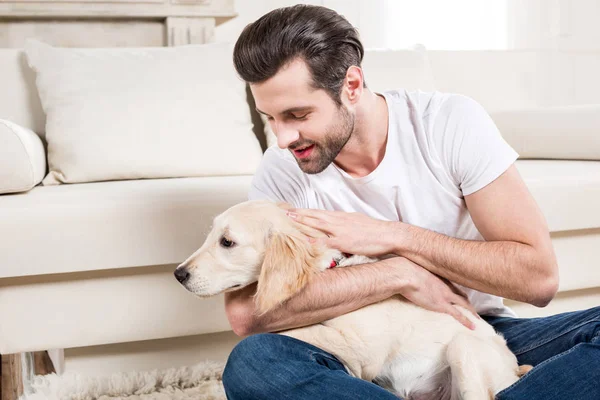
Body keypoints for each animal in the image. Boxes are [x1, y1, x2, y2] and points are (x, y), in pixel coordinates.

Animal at [173, 200, 528, 400]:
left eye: (227, 242)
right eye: (211, 235)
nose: (178, 274)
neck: (327, 266)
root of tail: (515, 370)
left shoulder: (361, 351)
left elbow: (286, 332)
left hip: (464, 350)